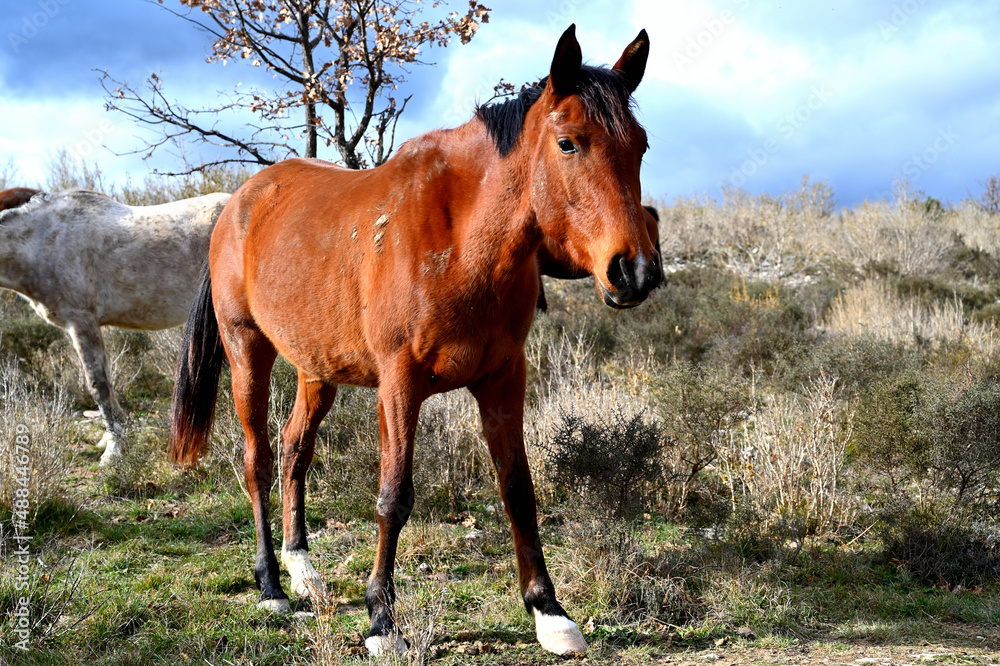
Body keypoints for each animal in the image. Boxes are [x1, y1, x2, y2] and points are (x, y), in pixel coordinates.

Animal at [169, 24, 656, 657]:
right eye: (569, 143)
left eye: (640, 146)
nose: (636, 271)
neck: (462, 239)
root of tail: (239, 202)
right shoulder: (399, 387)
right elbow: (393, 498)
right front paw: (382, 620)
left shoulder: (503, 379)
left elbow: (518, 490)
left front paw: (549, 612)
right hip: (247, 350)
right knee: (259, 459)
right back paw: (272, 585)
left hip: (316, 369)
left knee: (295, 448)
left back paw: (304, 571)